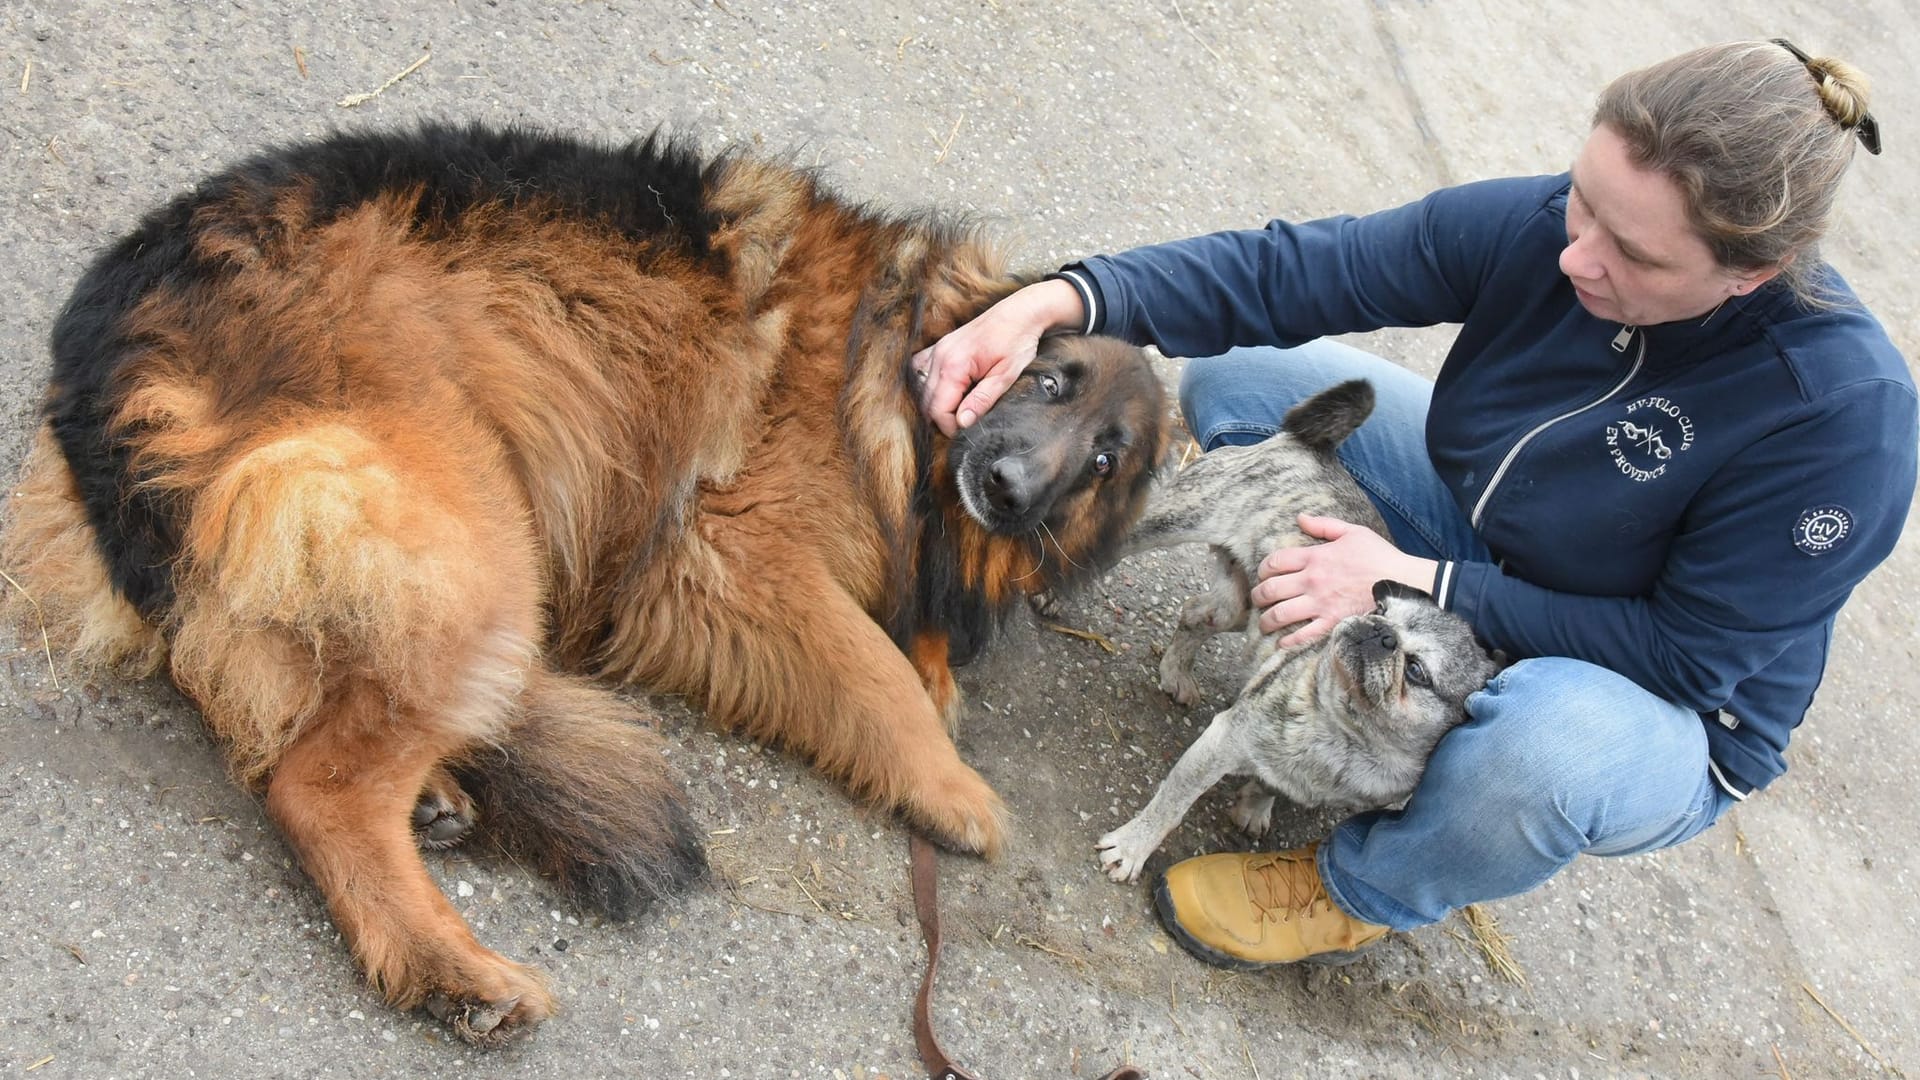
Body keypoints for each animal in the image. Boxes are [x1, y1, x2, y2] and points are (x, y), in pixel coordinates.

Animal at [0, 122, 1167, 1037]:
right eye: (1048, 377)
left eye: (1107, 460)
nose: (1010, 489)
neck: (887, 357)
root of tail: (101, 345)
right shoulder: (725, 559)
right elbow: (871, 672)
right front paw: (952, 786)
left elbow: (909, 655)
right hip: (479, 544)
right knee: (313, 782)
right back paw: (452, 971)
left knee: (304, 707)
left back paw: (438, 797)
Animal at [1098, 378, 1497, 883]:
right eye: (1380, 606)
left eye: (1417, 671)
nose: (1379, 630)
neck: (1347, 735)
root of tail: (1312, 448)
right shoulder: (1223, 742)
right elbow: (1172, 803)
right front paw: (1133, 847)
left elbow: (1275, 784)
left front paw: (1256, 802)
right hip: (1170, 523)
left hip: (1243, 607)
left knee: (1195, 614)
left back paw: (1176, 672)